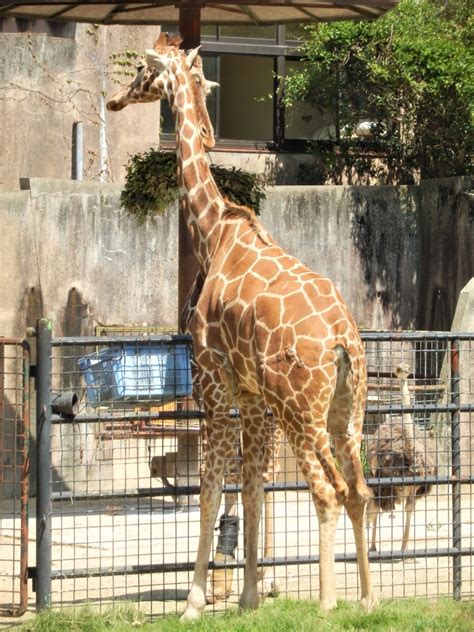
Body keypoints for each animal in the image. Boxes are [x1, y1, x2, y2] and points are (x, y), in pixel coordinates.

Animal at [106, 32, 374, 620]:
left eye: (141, 70)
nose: (113, 100)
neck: (213, 230)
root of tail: (344, 342)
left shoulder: (211, 379)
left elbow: (208, 490)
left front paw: (194, 603)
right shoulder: (251, 395)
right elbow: (250, 489)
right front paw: (249, 595)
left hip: (301, 411)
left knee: (328, 490)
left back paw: (327, 603)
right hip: (347, 411)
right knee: (361, 489)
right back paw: (368, 598)